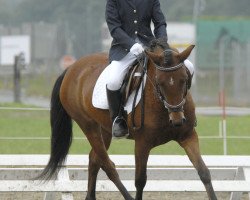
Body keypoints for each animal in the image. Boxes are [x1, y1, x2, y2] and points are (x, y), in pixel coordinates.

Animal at [40, 39, 217, 200]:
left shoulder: (188, 136)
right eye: (159, 82)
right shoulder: (142, 143)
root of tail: (71, 68)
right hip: (88, 125)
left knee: (94, 159)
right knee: (108, 166)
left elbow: (204, 172)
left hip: (105, 130)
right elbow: (140, 181)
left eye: (184, 79)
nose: (177, 121)